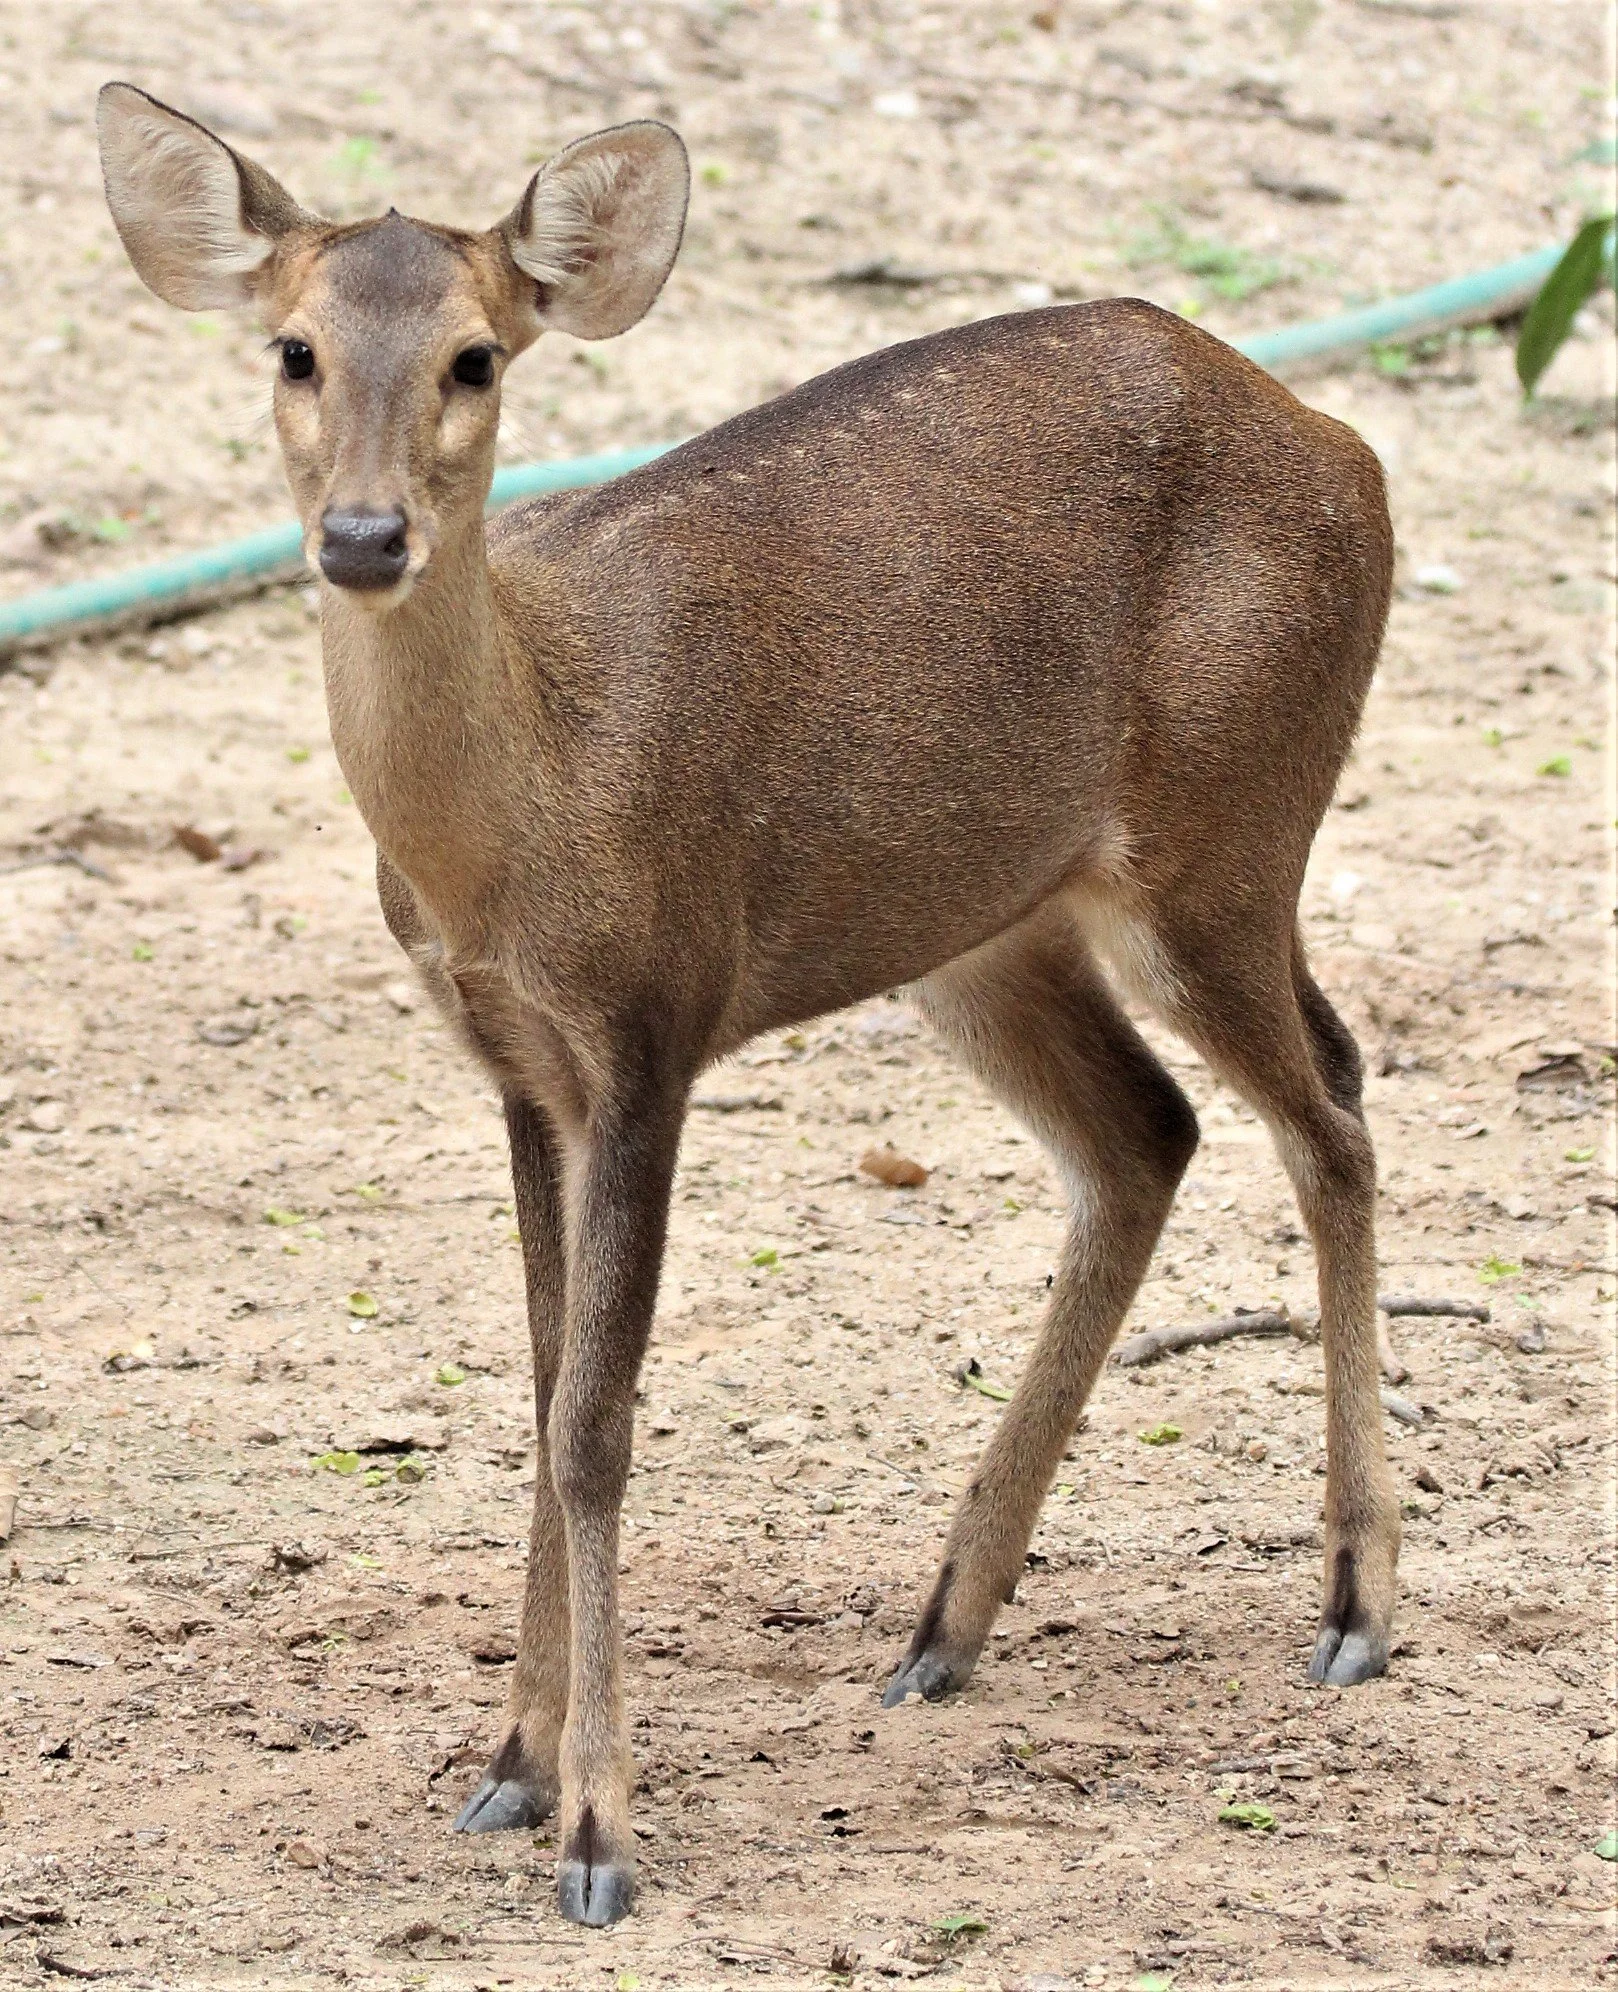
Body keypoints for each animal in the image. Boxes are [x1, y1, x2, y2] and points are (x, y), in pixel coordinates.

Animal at [97, 81, 1401, 1927]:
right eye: (292, 346)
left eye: (476, 356)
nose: (362, 536)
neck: (519, 814)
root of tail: (1345, 445)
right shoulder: (519, 1066)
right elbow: (539, 1387)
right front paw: (508, 1768)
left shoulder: (658, 1017)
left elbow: (594, 1421)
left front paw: (596, 1829)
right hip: (982, 925)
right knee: (1147, 1133)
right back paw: (941, 1629)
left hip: (1225, 830)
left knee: (1333, 1110)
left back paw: (1353, 1606)